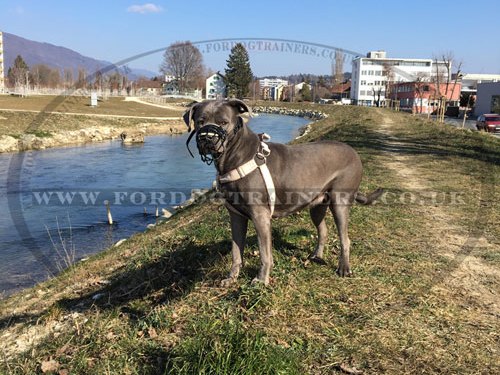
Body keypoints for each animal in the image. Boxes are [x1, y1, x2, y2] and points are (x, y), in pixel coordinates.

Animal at [184, 98, 382, 286]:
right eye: (200, 121)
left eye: (223, 122)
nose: (207, 138)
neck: (236, 156)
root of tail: (354, 152)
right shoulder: (236, 216)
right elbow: (236, 251)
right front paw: (231, 278)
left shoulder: (260, 215)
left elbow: (264, 253)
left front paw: (261, 280)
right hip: (317, 204)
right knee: (323, 230)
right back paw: (316, 256)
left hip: (340, 202)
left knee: (345, 239)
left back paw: (344, 268)